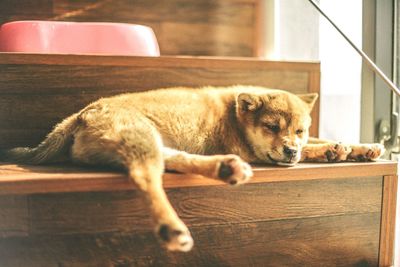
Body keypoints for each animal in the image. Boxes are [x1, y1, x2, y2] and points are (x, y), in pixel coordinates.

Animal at [1, 86, 386, 253]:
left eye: (299, 129)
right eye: (272, 127)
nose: (290, 150)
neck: (235, 114)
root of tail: (78, 116)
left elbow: (321, 141)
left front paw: (356, 147)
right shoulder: (254, 150)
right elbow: (313, 148)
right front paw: (334, 149)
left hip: (151, 141)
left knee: (171, 160)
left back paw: (224, 168)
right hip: (140, 137)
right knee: (146, 177)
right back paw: (172, 227)